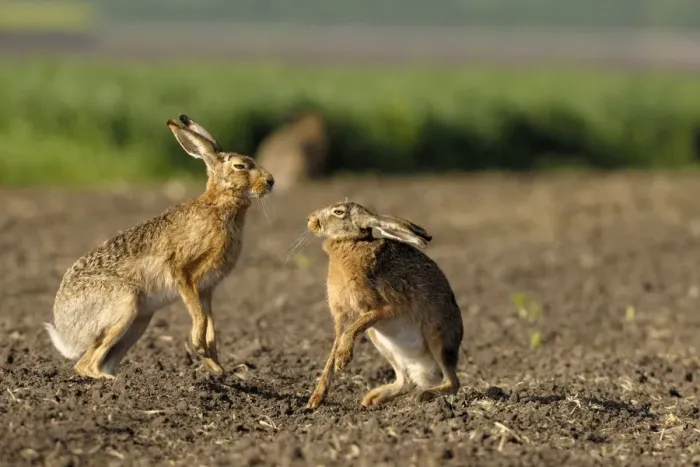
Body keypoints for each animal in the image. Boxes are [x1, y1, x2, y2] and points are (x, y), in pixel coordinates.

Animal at [44, 114, 275, 379]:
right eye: (240, 166)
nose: (271, 182)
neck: (219, 207)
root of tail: (65, 331)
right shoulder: (183, 273)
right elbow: (199, 316)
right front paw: (199, 348)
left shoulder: (207, 289)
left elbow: (211, 324)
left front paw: (215, 367)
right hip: (125, 304)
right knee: (85, 364)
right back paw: (110, 381)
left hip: (140, 320)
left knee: (102, 360)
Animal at [305, 201, 463, 409]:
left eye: (338, 212)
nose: (310, 220)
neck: (351, 243)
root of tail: (425, 372)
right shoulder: (342, 317)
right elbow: (333, 350)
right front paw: (315, 399)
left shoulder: (387, 307)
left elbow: (353, 330)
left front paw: (343, 359)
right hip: (381, 342)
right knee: (405, 381)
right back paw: (372, 398)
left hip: (438, 338)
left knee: (453, 382)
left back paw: (423, 395)